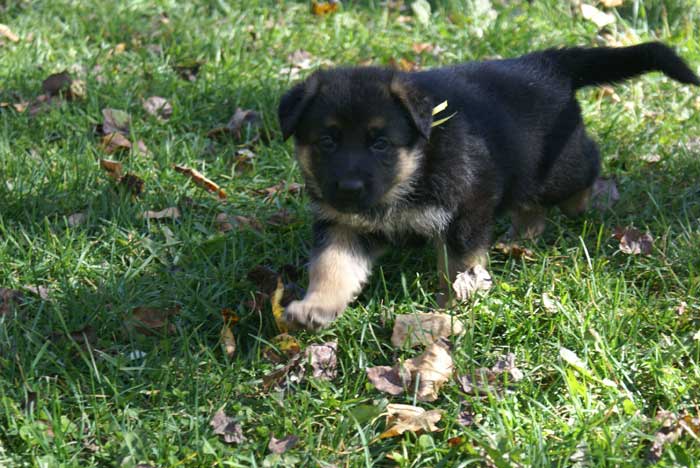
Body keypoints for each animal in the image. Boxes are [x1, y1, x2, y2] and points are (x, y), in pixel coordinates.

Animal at [276, 43, 696, 330]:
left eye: (379, 143)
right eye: (327, 141)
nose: (347, 188)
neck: (414, 170)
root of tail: (545, 63)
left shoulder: (467, 210)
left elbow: (459, 265)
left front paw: (453, 307)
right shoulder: (343, 226)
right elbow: (332, 267)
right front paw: (315, 307)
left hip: (557, 170)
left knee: (588, 162)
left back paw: (587, 200)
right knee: (531, 206)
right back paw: (522, 235)